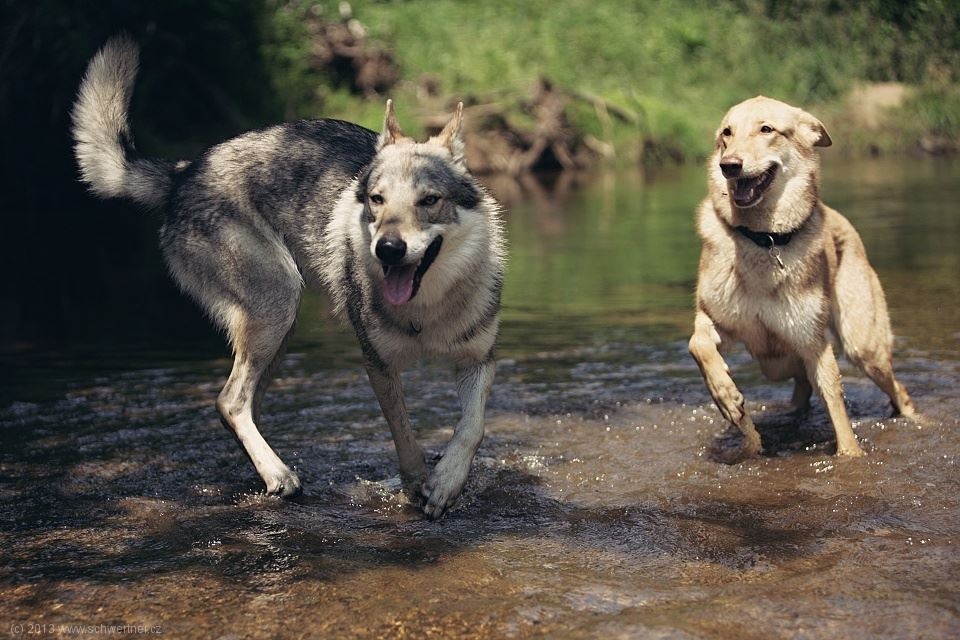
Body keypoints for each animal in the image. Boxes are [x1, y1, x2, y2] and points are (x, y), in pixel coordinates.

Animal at [688, 96, 916, 460]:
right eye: (727, 132)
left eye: (766, 129)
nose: (729, 166)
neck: (764, 239)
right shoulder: (716, 320)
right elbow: (698, 345)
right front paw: (727, 397)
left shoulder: (814, 345)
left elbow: (838, 412)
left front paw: (850, 456)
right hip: (776, 363)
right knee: (802, 385)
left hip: (863, 349)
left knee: (899, 391)